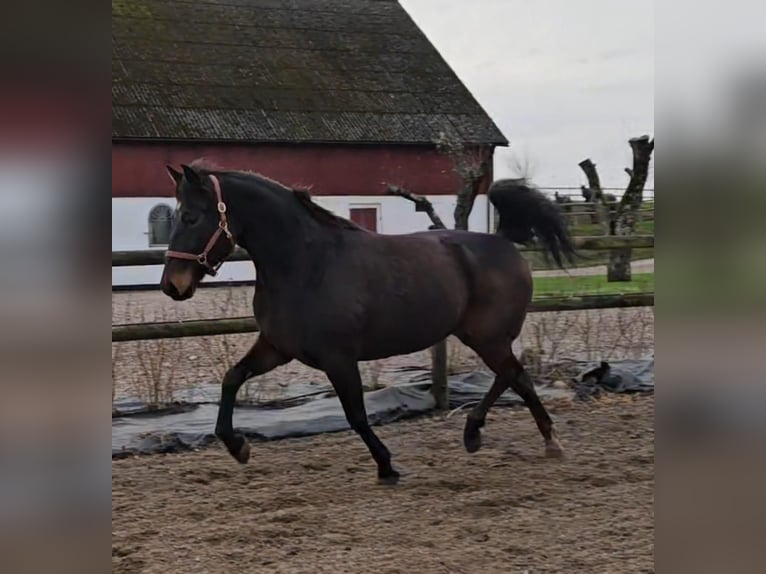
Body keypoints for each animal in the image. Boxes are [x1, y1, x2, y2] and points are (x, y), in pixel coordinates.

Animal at [164, 163, 576, 486]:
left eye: (190, 217)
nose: (172, 285)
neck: (305, 264)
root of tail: (505, 242)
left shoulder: (338, 358)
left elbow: (357, 415)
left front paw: (387, 466)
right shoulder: (276, 347)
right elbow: (232, 378)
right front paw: (238, 447)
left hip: (488, 337)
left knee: (511, 374)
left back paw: (482, 433)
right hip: (480, 336)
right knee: (518, 377)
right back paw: (541, 440)